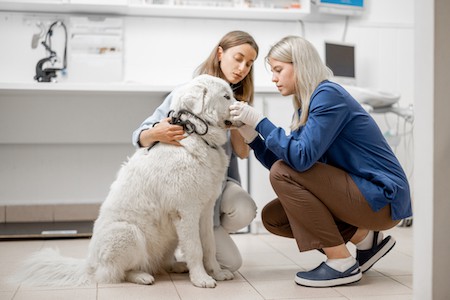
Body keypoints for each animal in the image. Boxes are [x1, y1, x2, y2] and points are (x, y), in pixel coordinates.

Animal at [11, 74, 236, 288]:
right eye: (227, 96)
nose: (241, 104)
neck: (196, 134)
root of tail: (89, 265)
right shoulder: (185, 212)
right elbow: (195, 249)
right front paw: (201, 279)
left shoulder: (205, 211)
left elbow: (209, 246)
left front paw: (217, 273)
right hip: (129, 233)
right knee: (117, 273)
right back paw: (142, 276)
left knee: (160, 263)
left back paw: (177, 266)